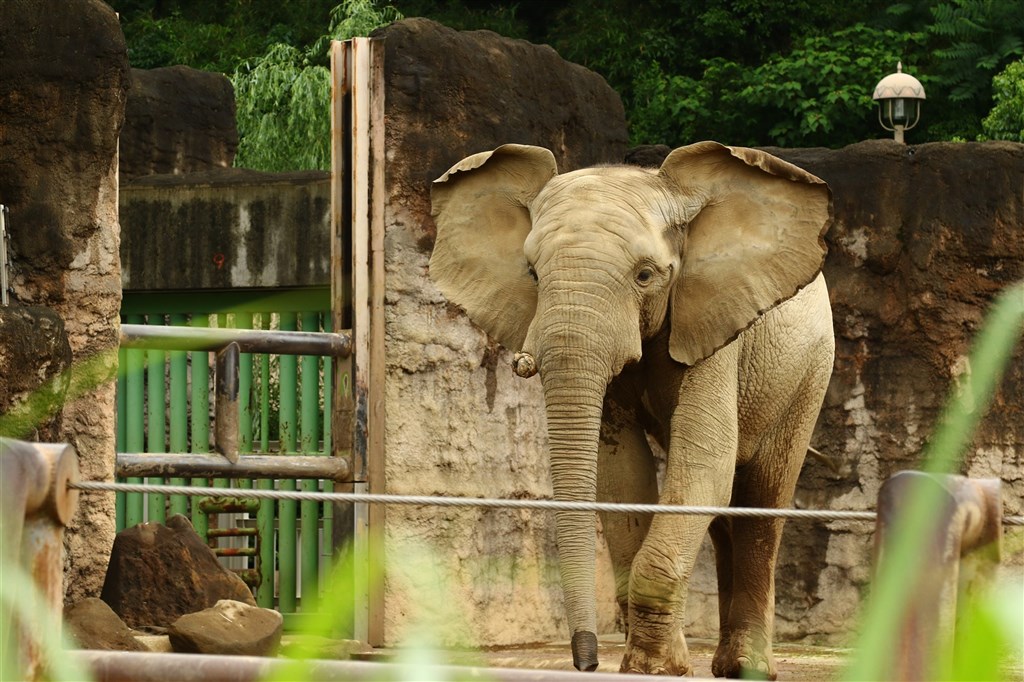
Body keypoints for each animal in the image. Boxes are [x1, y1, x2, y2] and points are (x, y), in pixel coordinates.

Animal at [428, 141, 835, 678]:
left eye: (644, 275)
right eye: (533, 274)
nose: (586, 661)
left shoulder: (712, 327)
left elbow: (703, 460)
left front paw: (651, 667)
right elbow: (621, 472)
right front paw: (661, 665)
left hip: (809, 370)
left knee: (760, 498)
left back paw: (746, 667)